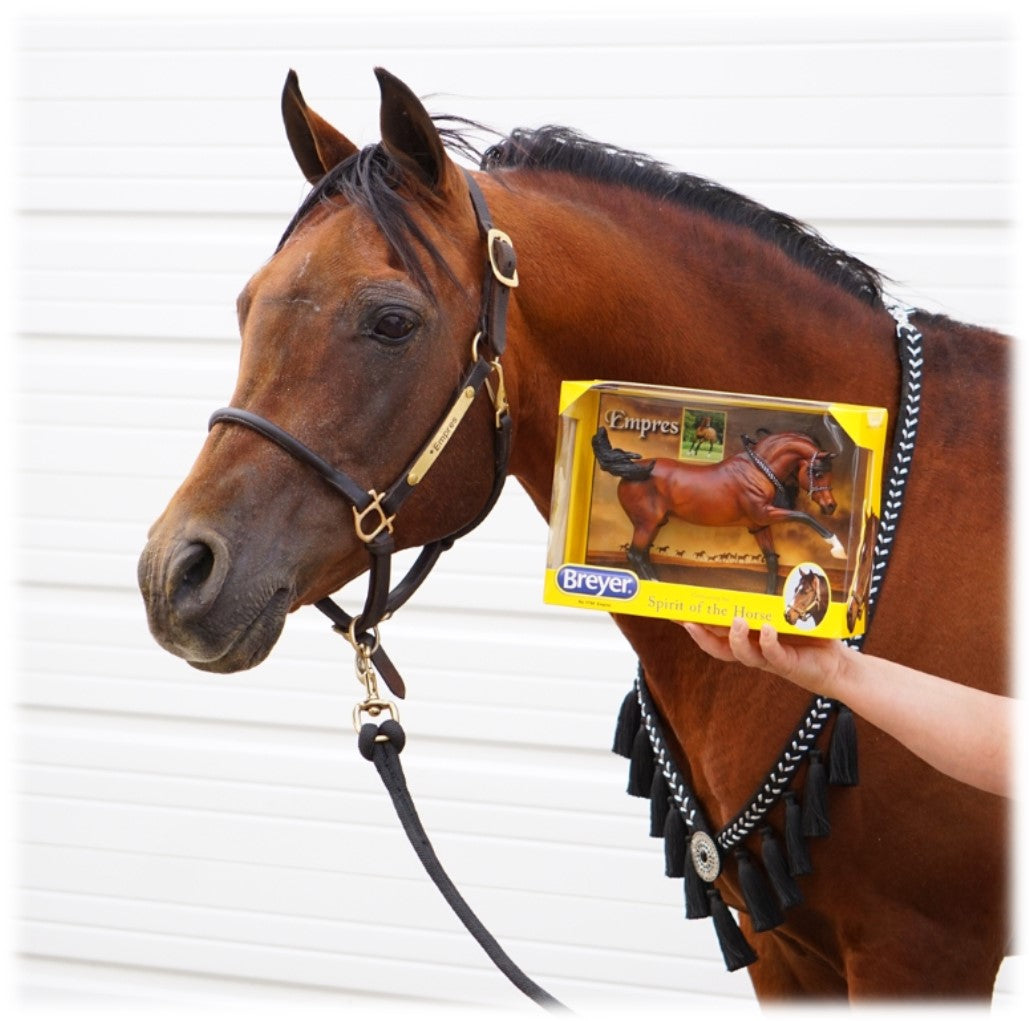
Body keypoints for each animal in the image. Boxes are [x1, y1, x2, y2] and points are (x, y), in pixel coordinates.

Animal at [592, 426, 844, 592]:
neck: (756, 471)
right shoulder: (765, 513)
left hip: (656, 523)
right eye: (817, 472)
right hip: (646, 524)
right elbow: (805, 517)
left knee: (643, 554)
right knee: (635, 554)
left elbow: (772, 561)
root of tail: (630, 472)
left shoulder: (759, 525)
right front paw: (838, 548)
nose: (830, 506)